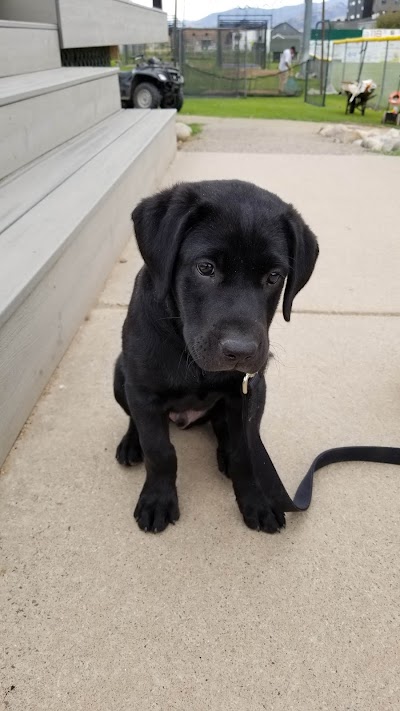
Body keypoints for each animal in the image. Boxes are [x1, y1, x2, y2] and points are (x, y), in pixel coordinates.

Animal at [113, 178, 318, 536]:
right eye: (205, 268)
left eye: (274, 276)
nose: (241, 352)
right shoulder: (142, 390)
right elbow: (160, 451)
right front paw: (157, 500)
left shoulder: (248, 391)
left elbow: (244, 452)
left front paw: (257, 500)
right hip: (119, 374)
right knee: (134, 419)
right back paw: (130, 443)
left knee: (226, 431)